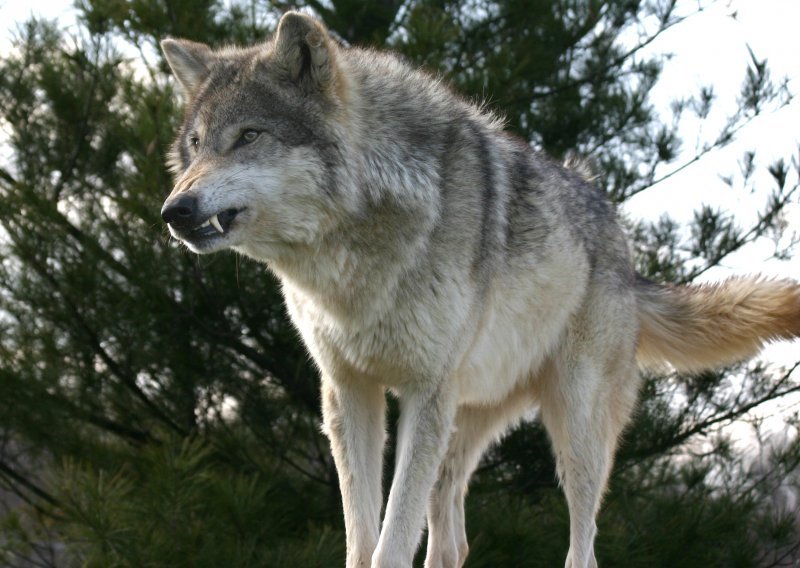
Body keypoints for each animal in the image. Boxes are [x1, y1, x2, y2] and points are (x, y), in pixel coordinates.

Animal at [158, 12, 800, 568]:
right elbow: (362, 538)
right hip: (462, 426)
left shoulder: (423, 391)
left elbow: (392, 539)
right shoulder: (348, 391)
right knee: (452, 542)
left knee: (582, 545)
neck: (354, 255)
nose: (173, 210)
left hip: (574, 430)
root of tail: (626, 252)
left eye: (248, 136)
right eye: (196, 145)